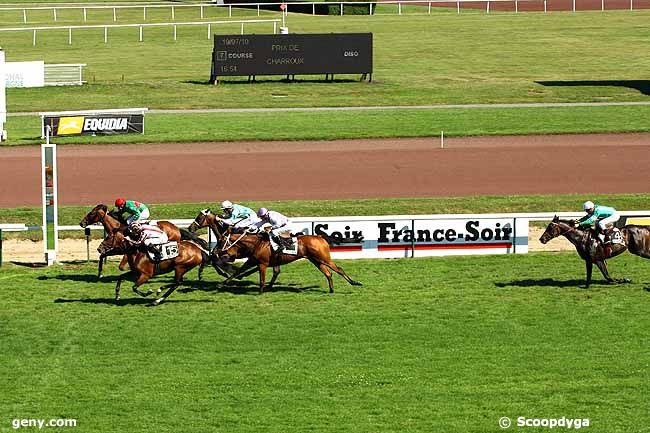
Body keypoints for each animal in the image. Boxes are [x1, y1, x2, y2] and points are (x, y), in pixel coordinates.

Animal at [216, 230, 360, 294]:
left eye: (221, 242)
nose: (216, 251)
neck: (257, 244)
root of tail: (320, 237)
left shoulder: (262, 264)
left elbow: (262, 279)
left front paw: (261, 291)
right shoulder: (252, 261)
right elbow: (237, 272)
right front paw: (222, 284)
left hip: (324, 258)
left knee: (338, 269)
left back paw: (355, 282)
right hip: (316, 260)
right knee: (328, 273)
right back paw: (331, 289)